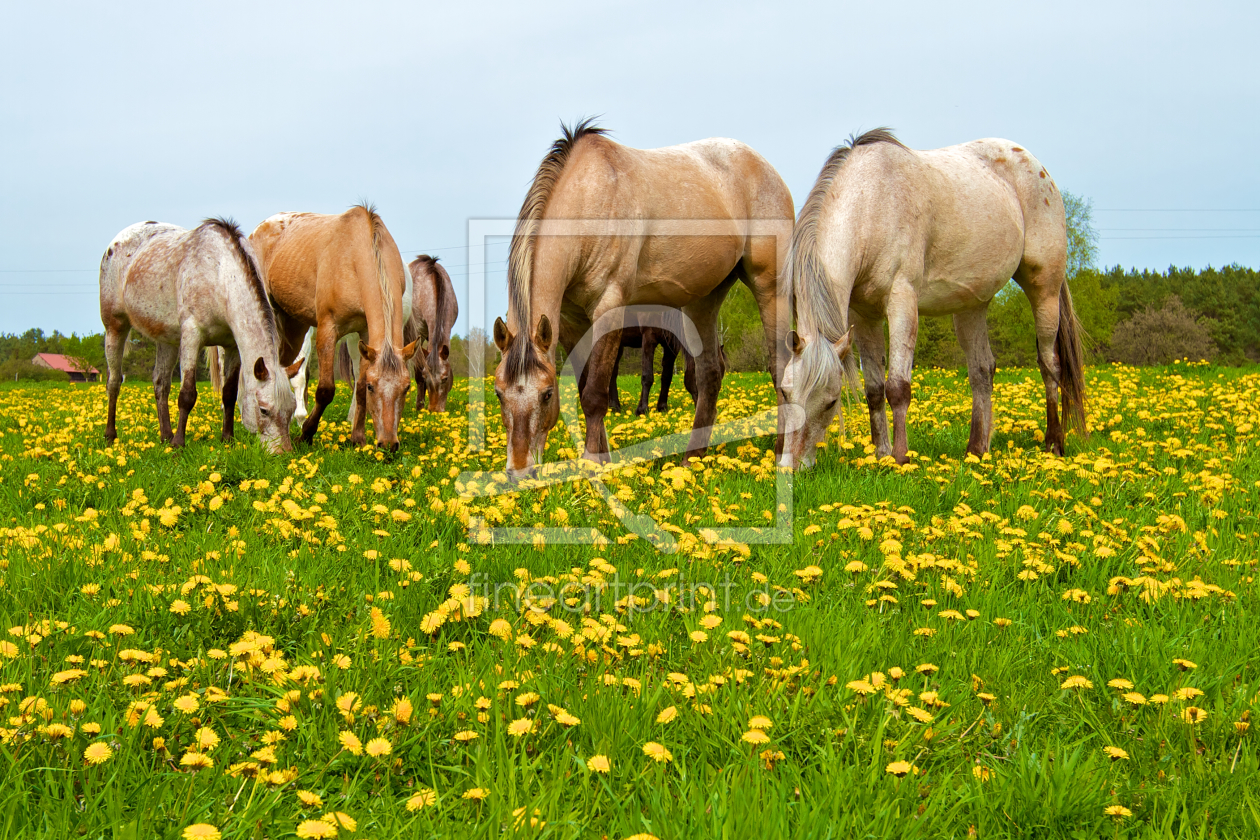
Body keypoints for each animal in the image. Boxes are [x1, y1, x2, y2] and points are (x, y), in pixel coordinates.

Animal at [405, 256, 461, 413]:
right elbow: (418, 371)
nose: (434, 410)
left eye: (445, 378)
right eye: (426, 377)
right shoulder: (418, 334)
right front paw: (419, 406)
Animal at [488, 121, 786, 483]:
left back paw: (787, 455)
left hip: (769, 286)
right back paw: (692, 459)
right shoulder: (573, 324)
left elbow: (595, 393)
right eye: (499, 393)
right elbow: (586, 387)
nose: (519, 473)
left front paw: (592, 464)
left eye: (547, 394)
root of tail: (762, 164)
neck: (590, 196)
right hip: (704, 299)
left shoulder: (608, 309)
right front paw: (602, 460)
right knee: (709, 374)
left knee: (781, 365)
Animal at [776, 132, 1083, 473]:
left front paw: (900, 458)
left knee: (1049, 364)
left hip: (1044, 290)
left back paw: (1054, 443)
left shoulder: (902, 302)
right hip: (971, 306)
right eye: (785, 392)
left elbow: (898, 387)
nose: (790, 465)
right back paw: (976, 450)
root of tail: (1036, 166)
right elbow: (874, 390)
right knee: (982, 370)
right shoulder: (864, 316)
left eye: (831, 401)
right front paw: (881, 454)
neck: (873, 202)